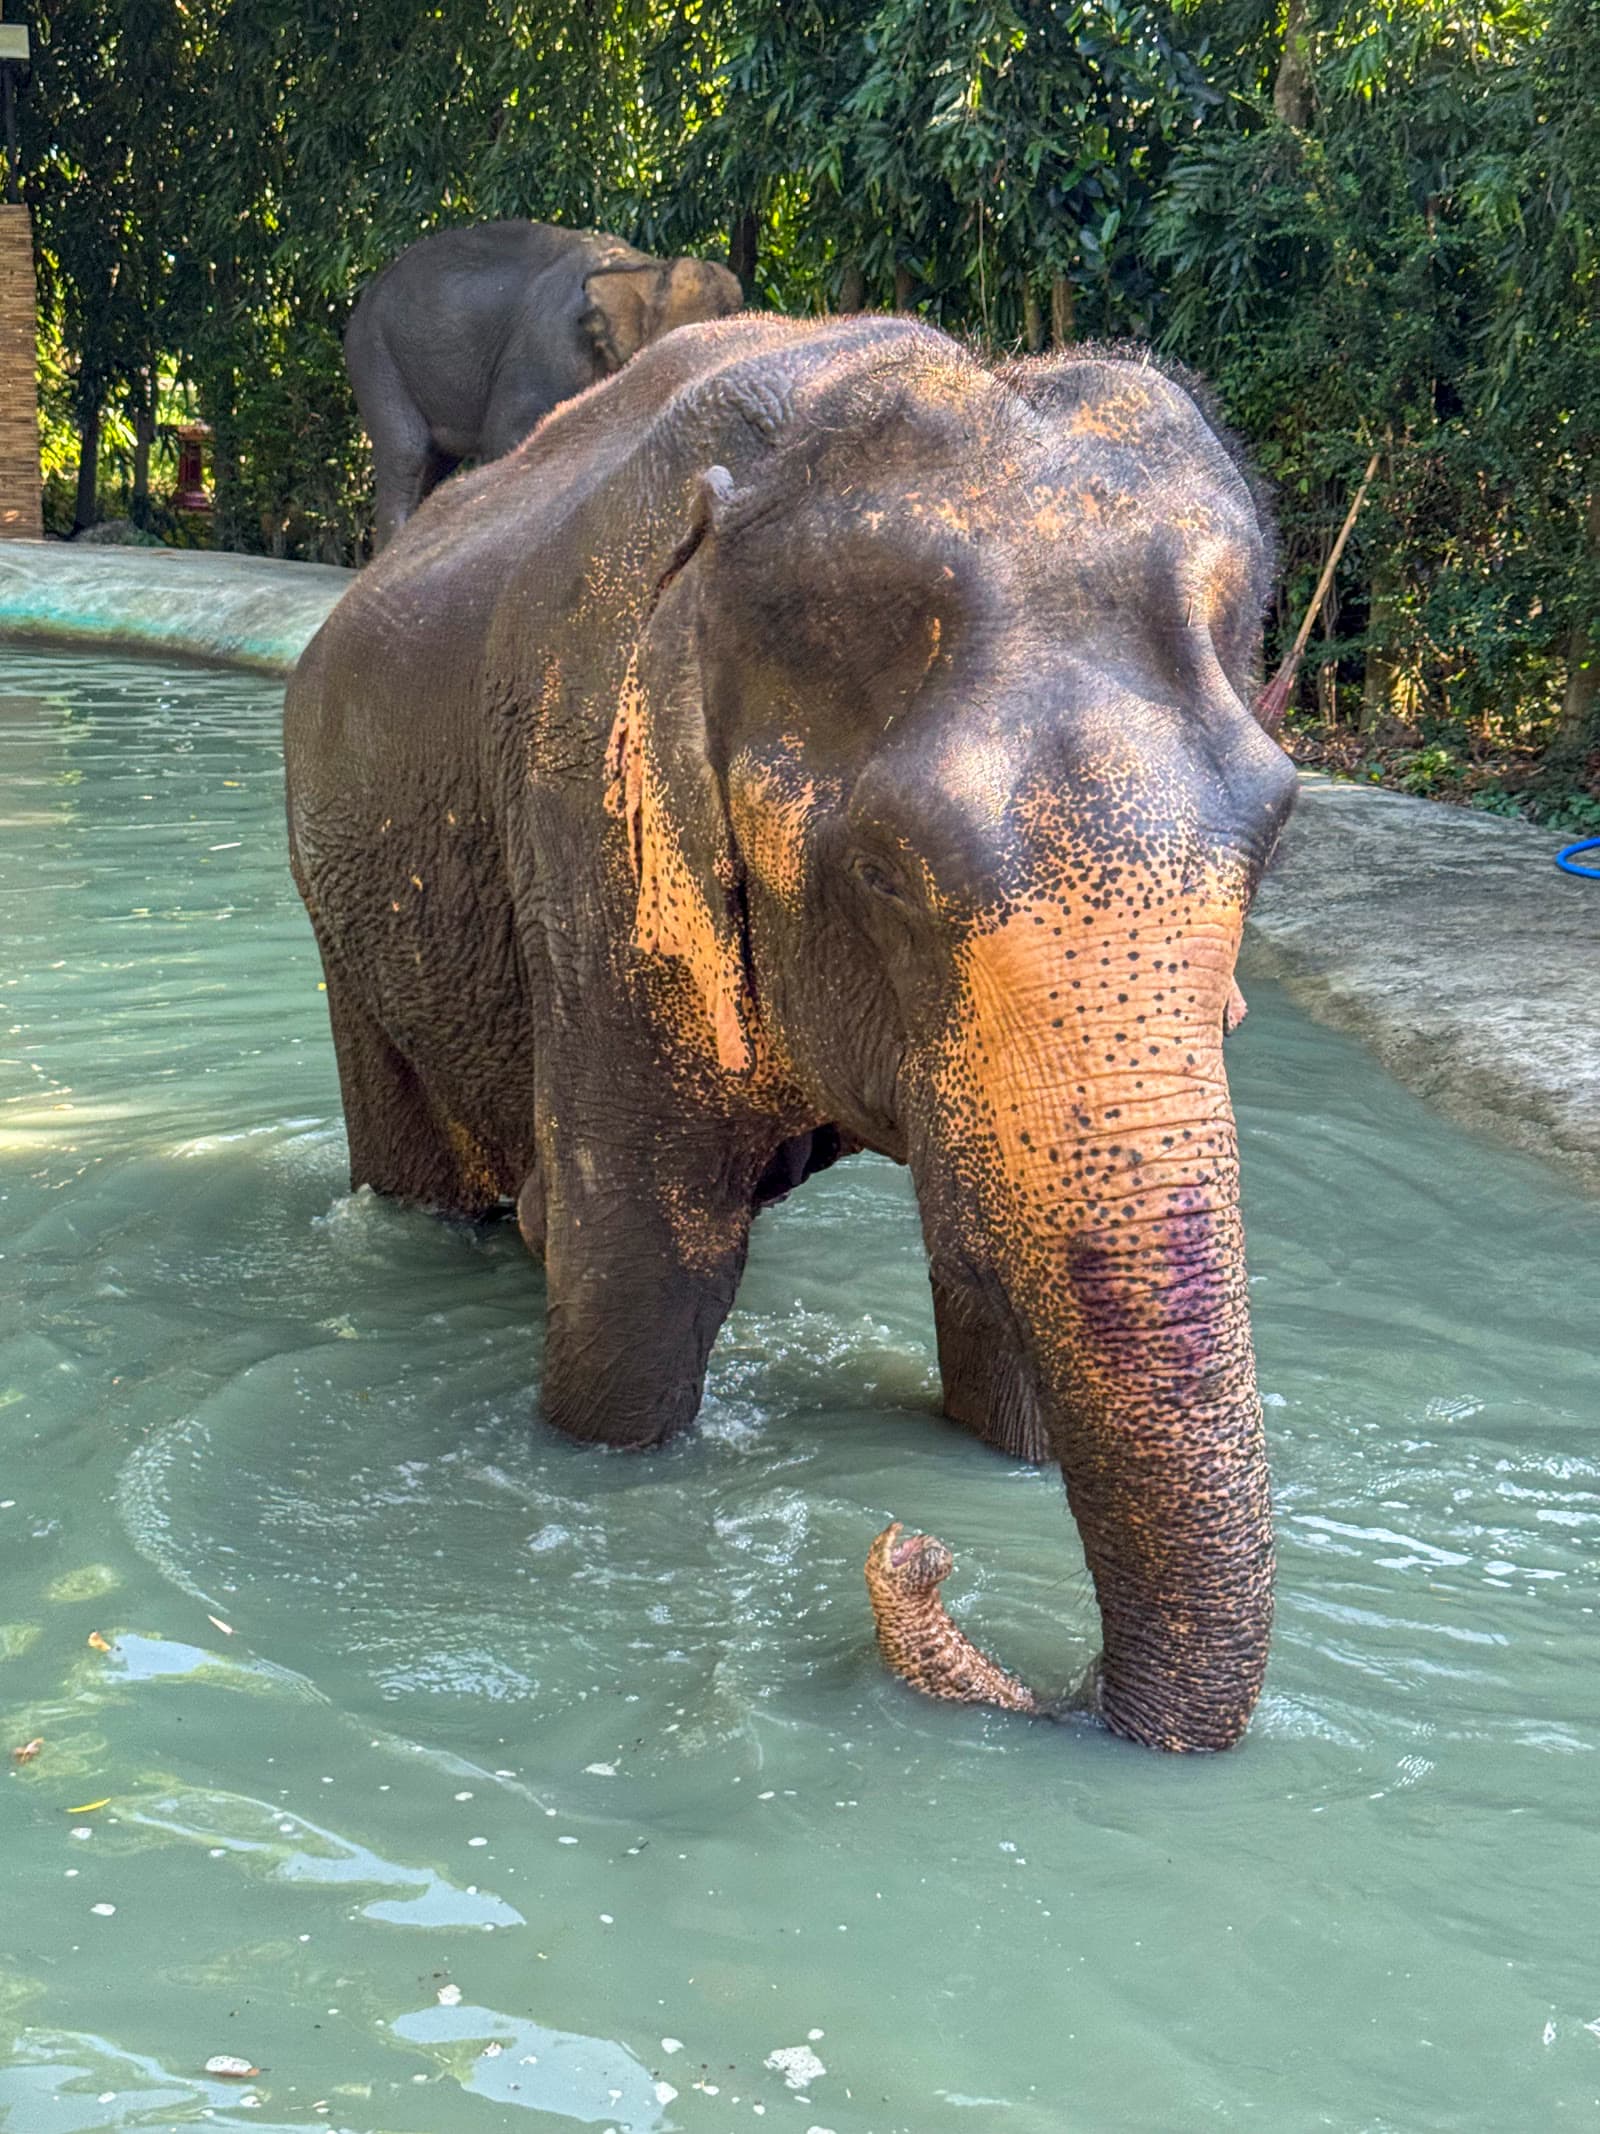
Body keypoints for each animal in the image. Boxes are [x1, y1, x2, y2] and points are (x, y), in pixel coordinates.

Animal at [285, 313, 1299, 1753]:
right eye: (887, 873)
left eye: (1275, 833)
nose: (918, 1552)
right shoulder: (590, 837)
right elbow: (643, 1281)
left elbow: (998, 1303)